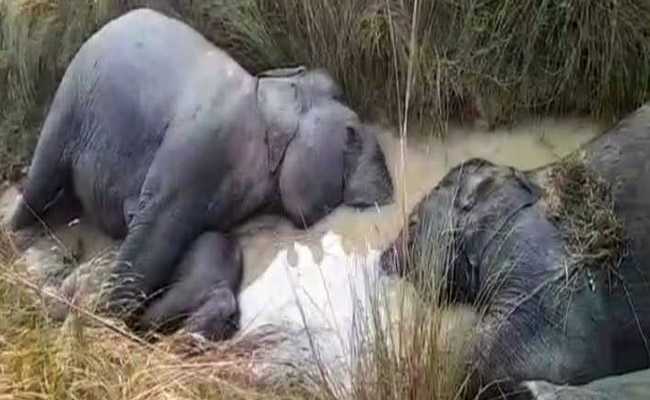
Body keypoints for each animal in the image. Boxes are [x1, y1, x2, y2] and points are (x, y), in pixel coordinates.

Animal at [7, 8, 393, 327]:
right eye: (351, 135)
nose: (389, 194)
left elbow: (204, 239)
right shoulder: (201, 144)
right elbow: (154, 230)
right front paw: (104, 321)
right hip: (68, 101)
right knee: (39, 184)